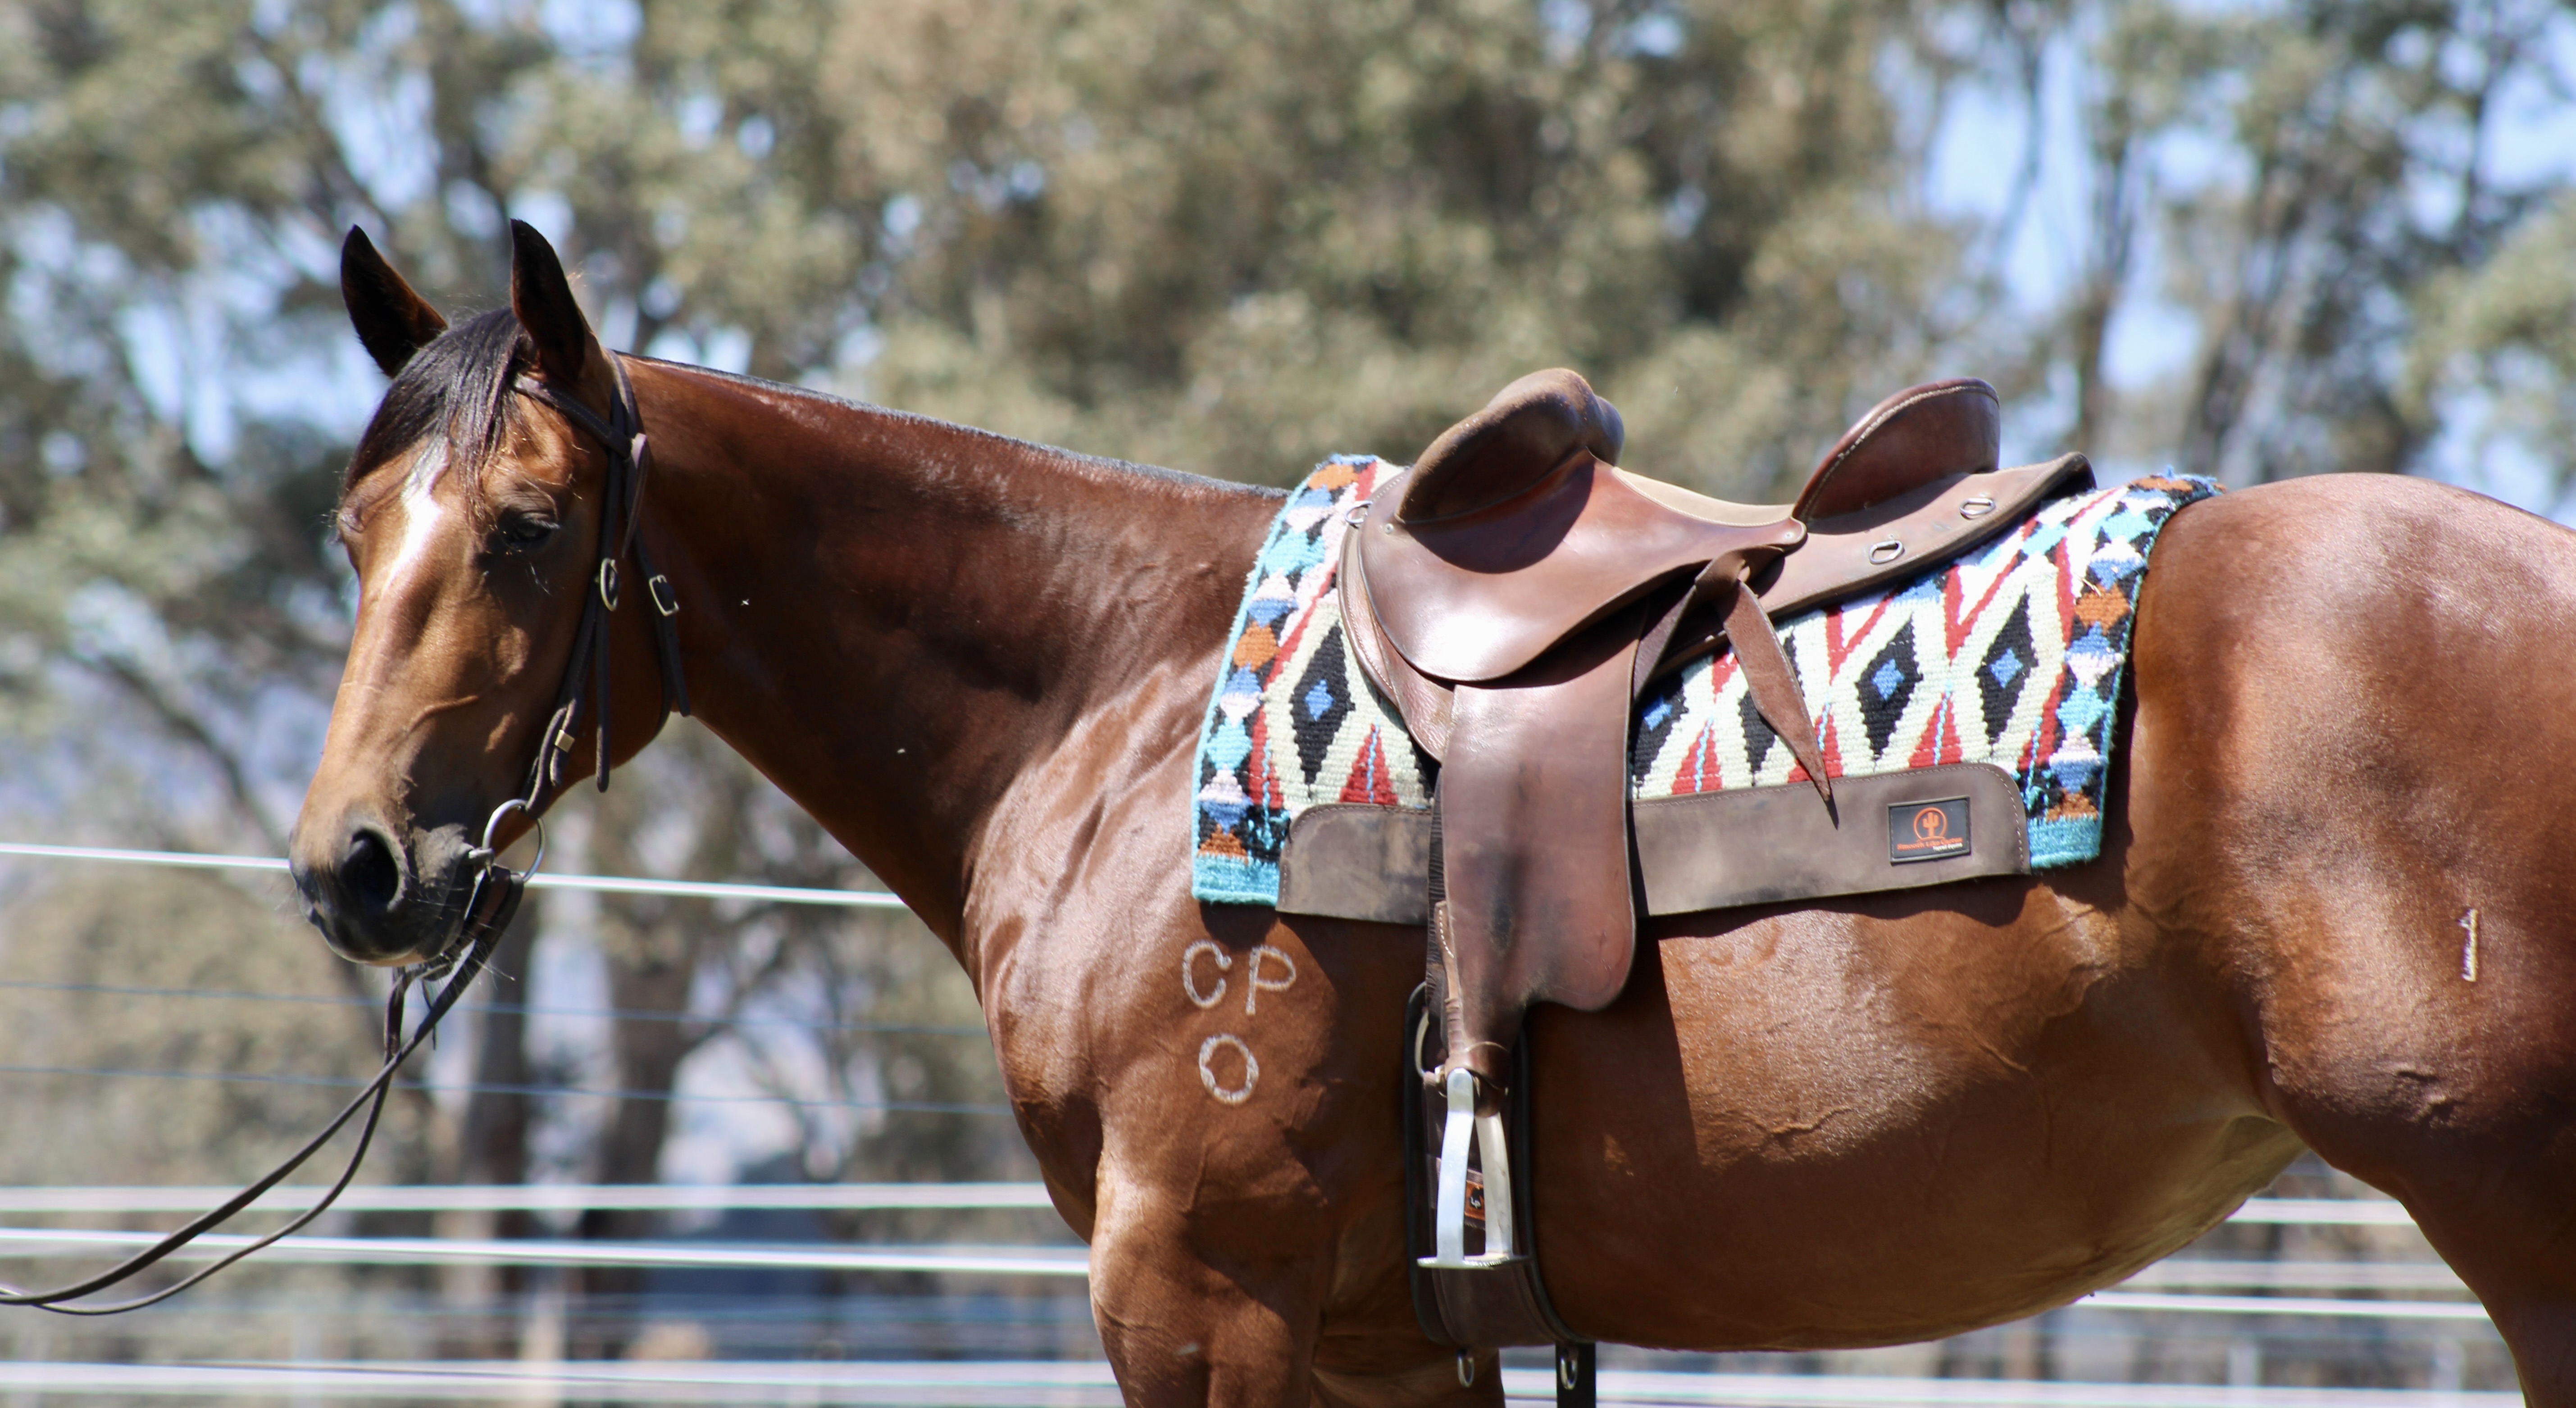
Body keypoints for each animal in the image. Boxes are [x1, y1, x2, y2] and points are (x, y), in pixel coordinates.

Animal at [288, 220, 2576, 1405]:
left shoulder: (1193, 1295)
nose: (355, 866)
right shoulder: (1393, 1337)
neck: (1110, 698)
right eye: (350, 529)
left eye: (520, 533)